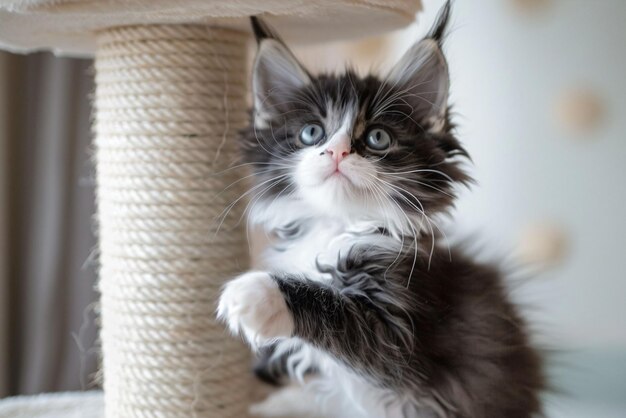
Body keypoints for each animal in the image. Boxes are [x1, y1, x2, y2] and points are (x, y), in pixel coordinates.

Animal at [217, 3, 544, 418]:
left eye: (377, 138)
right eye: (311, 133)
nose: (337, 151)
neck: (336, 226)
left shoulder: (404, 337)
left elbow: (337, 310)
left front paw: (259, 293)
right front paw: (277, 403)